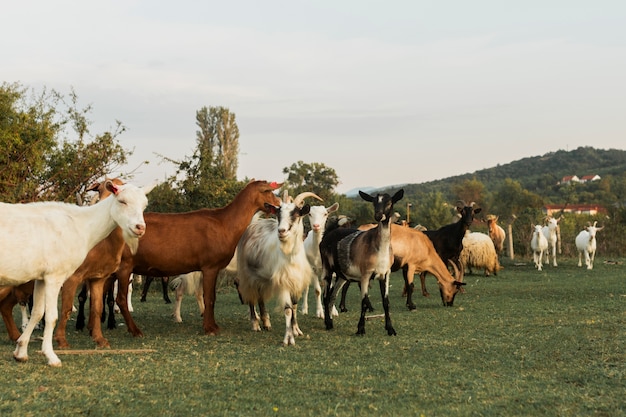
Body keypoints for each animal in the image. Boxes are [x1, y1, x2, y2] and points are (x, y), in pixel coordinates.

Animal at [113, 179, 282, 334]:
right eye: (268, 191)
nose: (279, 205)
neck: (224, 222)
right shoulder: (210, 266)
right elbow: (210, 297)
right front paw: (210, 328)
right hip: (125, 265)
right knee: (121, 298)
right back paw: (135, 330)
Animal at [235, 190, 322, 342]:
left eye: (296, 214)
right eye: (278, 214)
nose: (281, 231)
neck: (290, 256)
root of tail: (254, 224)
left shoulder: (295, 281)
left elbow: (294, 307)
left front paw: (296, 330)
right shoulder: (284, 282)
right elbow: (287, 309)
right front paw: (289, 338)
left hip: (262, 276)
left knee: (260, 297)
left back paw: (266, 323)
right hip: (248, 274)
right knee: (251, 297)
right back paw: (256, 324)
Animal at [320, 188, 402, 334]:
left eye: (389, 202)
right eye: (374, 202)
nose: (378, 216)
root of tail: (328, 234)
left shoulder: (385, 274)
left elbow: (386, 302)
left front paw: (390, 329)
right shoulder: (365, 275)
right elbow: (363, 302)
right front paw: (360, 329)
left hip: (342, 275)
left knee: (332, 296)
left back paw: (331, 322)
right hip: (327, 268)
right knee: (326, 297)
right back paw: (328, 323)